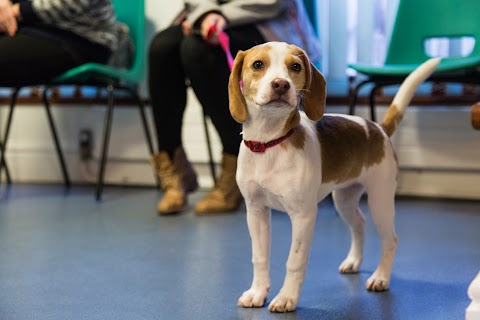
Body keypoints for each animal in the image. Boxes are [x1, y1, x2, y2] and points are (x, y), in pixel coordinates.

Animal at [229, 40, 438, 312]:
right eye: (257, 64)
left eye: (295, 67)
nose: (281, 85)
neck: (270, 143)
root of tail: (378, 128)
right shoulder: (256, 211)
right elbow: (260, 256)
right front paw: (258, 292)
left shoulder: (303, 216)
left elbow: (294, 261)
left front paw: (286, 297)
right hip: (344, 200)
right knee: (359, 224)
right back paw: (354, 261)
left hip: (380, 201)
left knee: (390, 240)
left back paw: (381, 277)